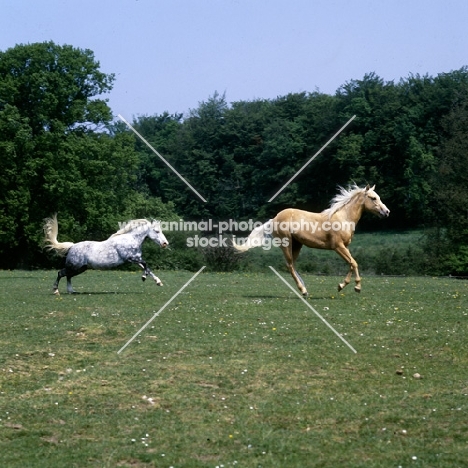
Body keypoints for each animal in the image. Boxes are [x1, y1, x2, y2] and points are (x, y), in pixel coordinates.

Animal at [234, 185, 392, 294]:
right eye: (373, 198)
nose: (387, 212)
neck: (343, 218)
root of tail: (274, 218)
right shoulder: (338, 247)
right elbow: (354, 263)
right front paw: (356, 287)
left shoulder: (344, 247)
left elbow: (351, 264)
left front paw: (342, 286)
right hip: (286, 244)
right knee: (289, 265)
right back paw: (303, 290)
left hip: (297, 245)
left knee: (292, 265)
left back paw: (304, 288)